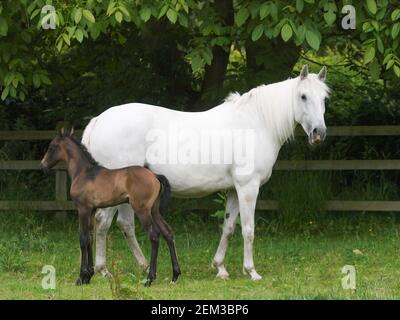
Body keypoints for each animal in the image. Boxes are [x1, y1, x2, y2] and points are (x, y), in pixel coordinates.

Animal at [39, 126, 180, 286]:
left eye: (51, 147)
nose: (42, 166)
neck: (83, 173)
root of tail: (154, 176)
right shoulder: (92, 210)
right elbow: (90, 237)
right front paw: (88, 275)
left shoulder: (83, 209)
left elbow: (82, 238)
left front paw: (81, 277)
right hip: (154, 211)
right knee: (167, 232)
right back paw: (175, 275)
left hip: (142, 210)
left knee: (154, 235)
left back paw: (150, 278)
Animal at [81, 65, 328, 280]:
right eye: (303, 96)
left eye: (324, 99)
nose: (319, 133)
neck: (255, 123)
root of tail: (98, 120)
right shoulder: (248, 187)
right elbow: (248, 229)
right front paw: (251, 271)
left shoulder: (233, 190)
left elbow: (228, 228)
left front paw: (220, 268)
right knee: (103, 223)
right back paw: (104, 271)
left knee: (124, 225)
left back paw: (141, 266)